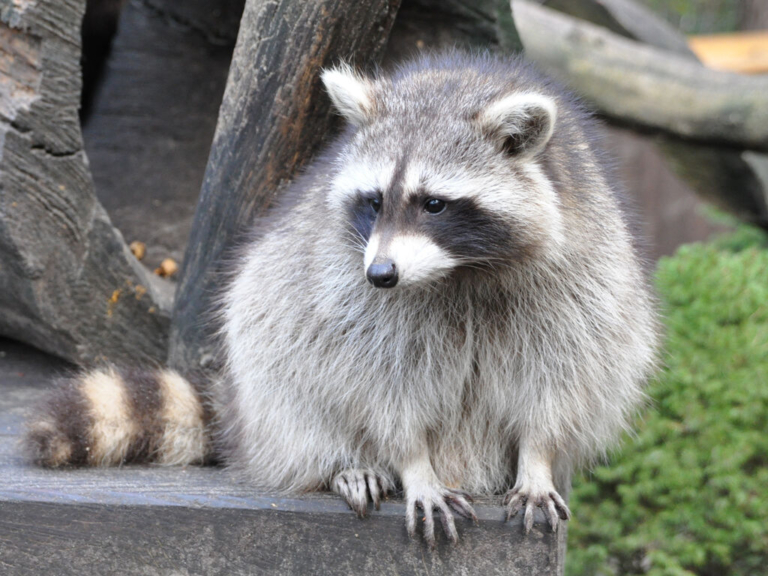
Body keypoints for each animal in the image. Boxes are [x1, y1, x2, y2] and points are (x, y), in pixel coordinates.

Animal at [25, 52, 659, 546]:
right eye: (374, 200)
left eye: (434, 204)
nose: (380, 274)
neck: (458, 272)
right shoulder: (349, 288)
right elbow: (377, 380)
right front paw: (414, 464)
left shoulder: (580, 270)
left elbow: (564, 375)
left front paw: (538, 458)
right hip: (272, 353)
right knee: (289, 366)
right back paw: (343, 463)